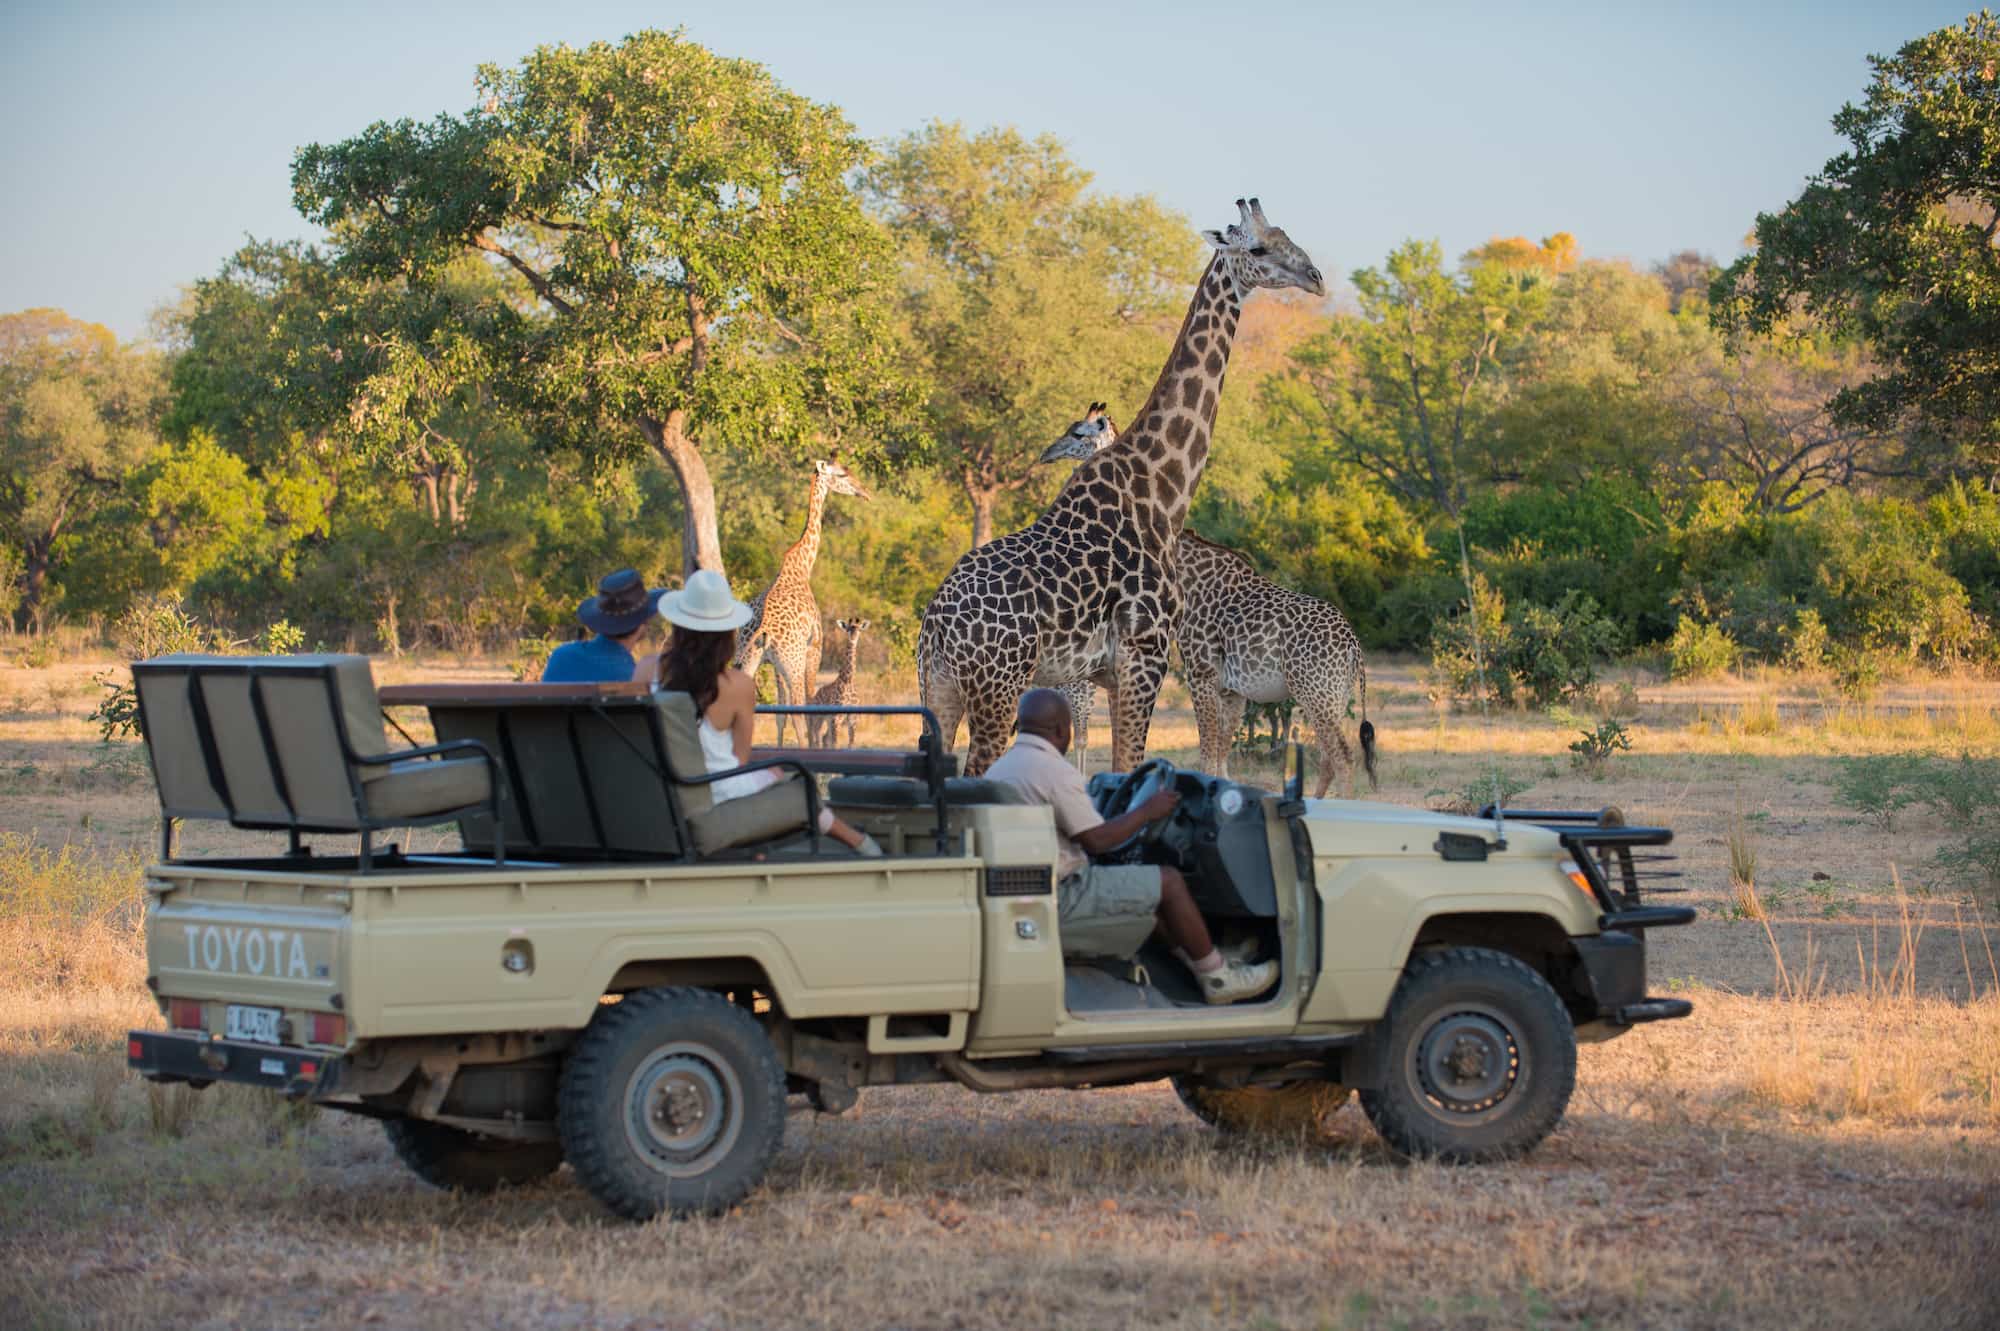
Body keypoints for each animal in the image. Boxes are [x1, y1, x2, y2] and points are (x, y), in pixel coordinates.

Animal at [806, 618, 870, 749]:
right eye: (848, 629)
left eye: (859, 629)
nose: (853, 638)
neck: (848, 680)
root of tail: (815, 696)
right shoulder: (836, 717)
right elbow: (835, 743)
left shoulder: (853, 718)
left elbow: (851, 743)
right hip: (819, 718)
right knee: (816, 736)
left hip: (828, 720)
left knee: (824, 738)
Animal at [919, 198, 1324, 776]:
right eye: (1260, 247)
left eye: (1287, 235)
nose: (1315, 277)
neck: (1164, 489)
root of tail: (935, 623)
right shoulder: (1145, 653)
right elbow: (1131, 765)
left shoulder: (1111, 672)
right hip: (997, 688)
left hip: (939, 688)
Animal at [1041, 414, 1377, 798]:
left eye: (1077, 433)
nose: (1048, 453)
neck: (1184, 563)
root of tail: (1353, 647)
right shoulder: (1231, 689)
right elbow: (1221, 758)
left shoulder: (1200, 672)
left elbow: (1207, 756)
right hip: (1330, 696)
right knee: (1328, 758)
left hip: (1315, 693)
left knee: (1342, 757)